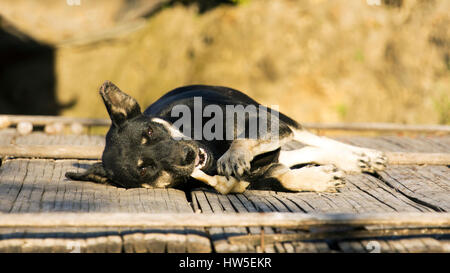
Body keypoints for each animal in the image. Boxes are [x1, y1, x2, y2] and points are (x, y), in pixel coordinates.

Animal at [65, 81, 384, 193]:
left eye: (150, 132)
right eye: (145, 168)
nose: (188, 156)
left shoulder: (261, 122)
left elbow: (244, 142)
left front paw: (235, 154)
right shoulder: (255, 175)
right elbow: (280, 177)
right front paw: (315, 179)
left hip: (273, 115)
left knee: (314, 138)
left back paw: (361, 156)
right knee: (298, 153)